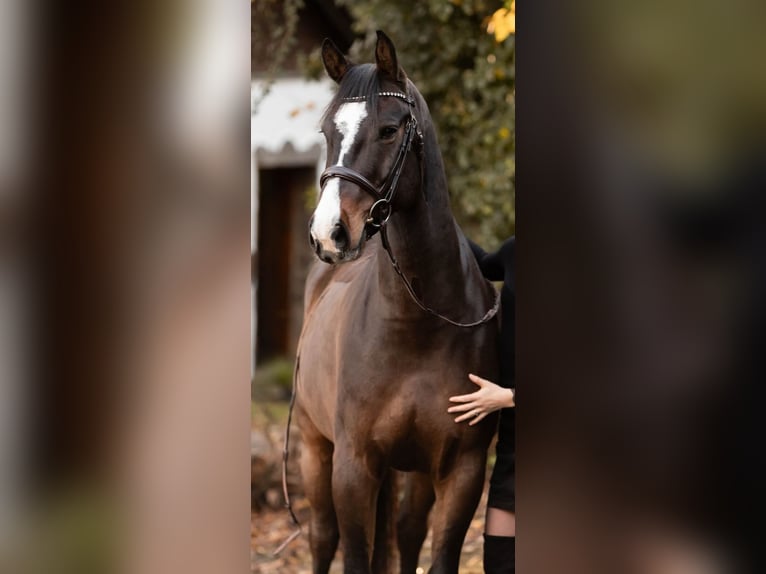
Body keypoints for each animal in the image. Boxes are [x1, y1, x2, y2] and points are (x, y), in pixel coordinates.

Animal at [294, 31, 500, 574]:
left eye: (389, 130)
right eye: (326, 131)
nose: (328, 234)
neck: (415, 325)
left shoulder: (461, 468)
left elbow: (437, 552)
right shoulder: (353, 465)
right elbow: (353, 553)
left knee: (407, 533)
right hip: (313, 448)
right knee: (322, 537)